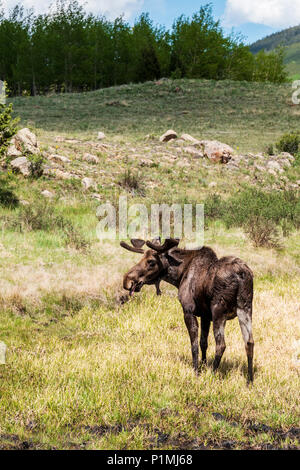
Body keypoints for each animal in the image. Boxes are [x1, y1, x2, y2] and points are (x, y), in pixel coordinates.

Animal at [120, 237, 254, 384]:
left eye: (151, 262)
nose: (127, 280)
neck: (179, 275)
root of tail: (242, 274)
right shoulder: (205, 316)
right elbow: (203, 343)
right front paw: (203, 365)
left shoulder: (188, 311)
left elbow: (194, 345)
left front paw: (196, 372)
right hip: (245, 308)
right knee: (249, 342)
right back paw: (249, 381)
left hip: (219, 311)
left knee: (221, 345)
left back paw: (213, 375)